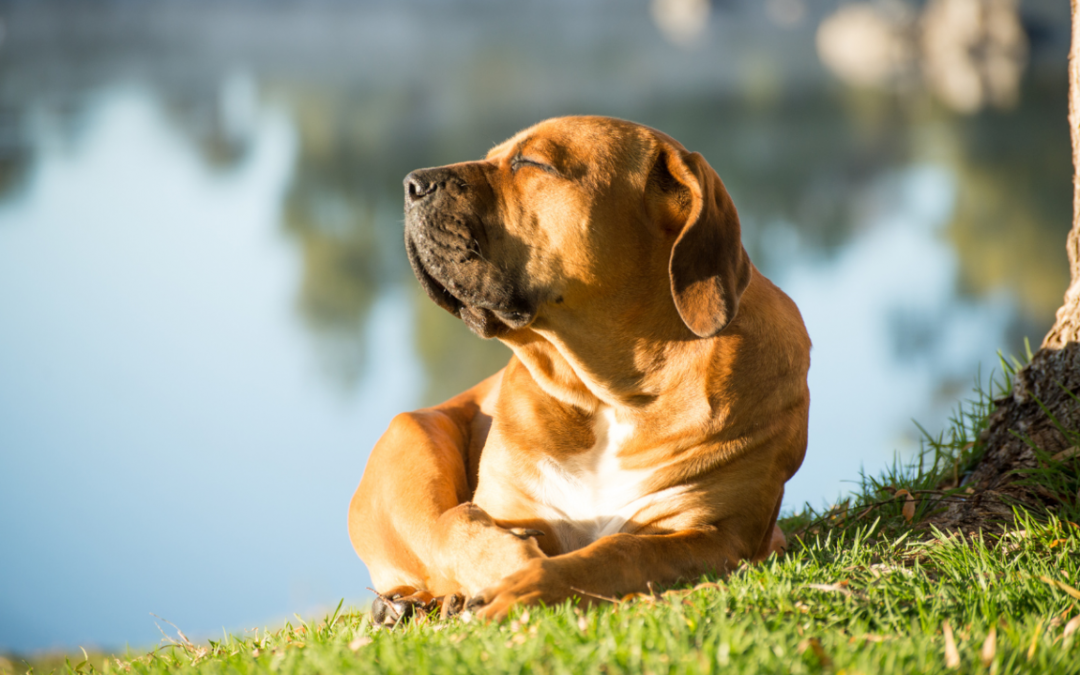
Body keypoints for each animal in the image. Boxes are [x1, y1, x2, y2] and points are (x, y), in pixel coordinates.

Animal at [347, 114, 812, 617]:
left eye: (532, 162)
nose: (413, 183)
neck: (607, 395)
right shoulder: (507, 507)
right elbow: (458, 526)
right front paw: (506, 565)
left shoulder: (715, 534)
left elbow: (617, 553)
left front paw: (527, 584)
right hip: (412, 436)